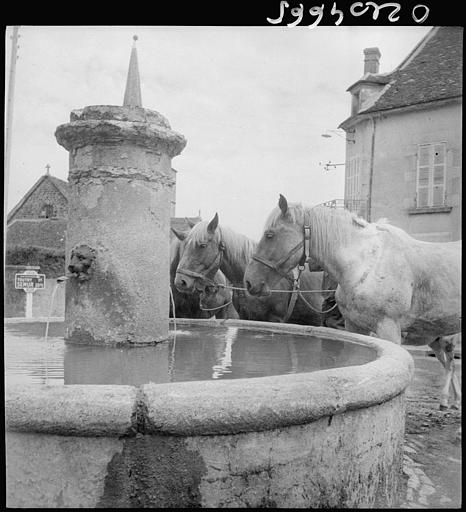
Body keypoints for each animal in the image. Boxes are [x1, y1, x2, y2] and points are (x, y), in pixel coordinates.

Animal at [246, 194, 460, 410]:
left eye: (270, 235)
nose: (249, 282)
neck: (367, 264)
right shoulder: (355, 326)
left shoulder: (389, 329)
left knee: (450, 363)